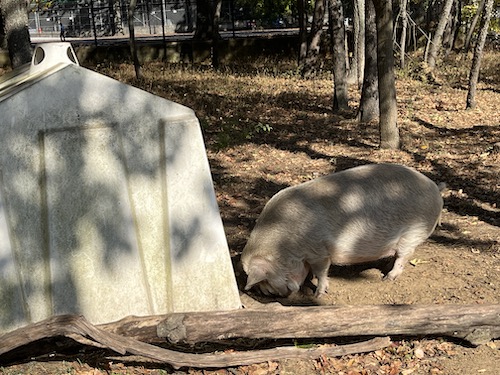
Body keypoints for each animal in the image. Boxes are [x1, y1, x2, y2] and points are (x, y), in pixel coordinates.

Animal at [240, 163, 444, 298]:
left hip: (413, 232)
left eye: (266, 279)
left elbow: (322, 271)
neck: (285, 244)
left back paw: (388, 277)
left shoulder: (319, 251)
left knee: (404, 256)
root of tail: (434, 187)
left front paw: (319, 295)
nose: (271, 295)